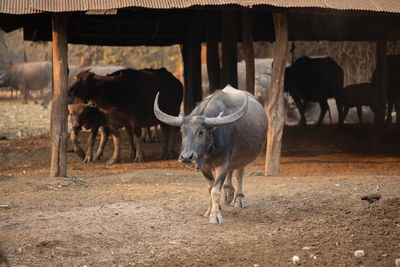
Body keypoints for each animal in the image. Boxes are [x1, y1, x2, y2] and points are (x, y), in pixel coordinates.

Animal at [155, 86, 268, 224]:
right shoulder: (204, 166)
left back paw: (239, 198)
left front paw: (216, 216)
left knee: (239, 173)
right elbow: (210, 188)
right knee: (231, 170)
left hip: (243, 156)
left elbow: (215, 191)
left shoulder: (222, 164)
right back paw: (228, 192)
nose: (186, 157)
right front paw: (211, 209)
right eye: (182, 132)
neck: (208, 151)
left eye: (201, 132)